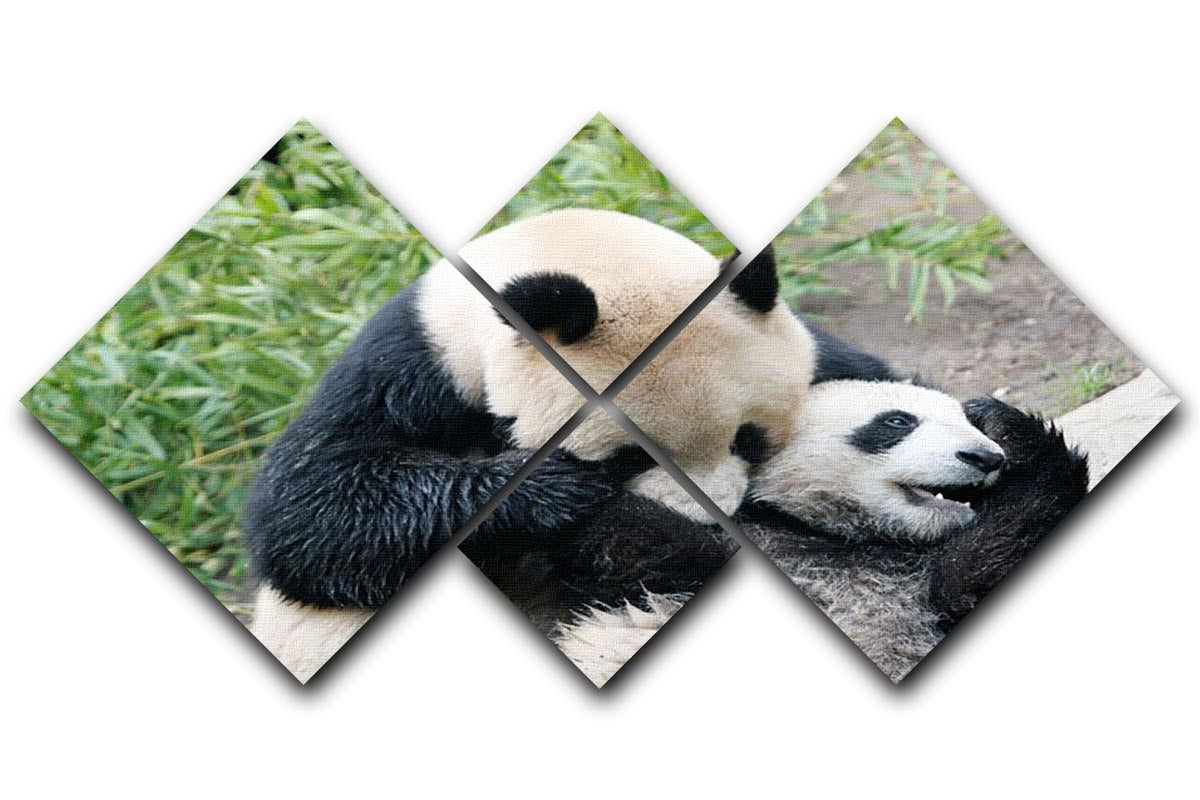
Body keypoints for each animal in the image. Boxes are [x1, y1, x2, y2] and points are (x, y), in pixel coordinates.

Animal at [245, 210, 815, 681]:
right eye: (632, 457)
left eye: (747, 437)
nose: (711, 518)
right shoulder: (412, 364)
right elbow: (310, 503)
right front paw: (551, 489)